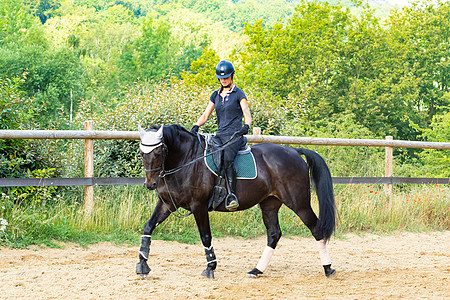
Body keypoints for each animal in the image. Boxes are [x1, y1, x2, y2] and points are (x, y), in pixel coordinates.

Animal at [135, 123, 336, 278]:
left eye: (159, 151)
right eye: (142, 153)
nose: (150, 184)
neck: (186, 160)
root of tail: (294, 150)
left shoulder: (199, 206)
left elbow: (205, 236)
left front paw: (210, 267)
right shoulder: (167, 204)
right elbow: (148, 227)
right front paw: (142, 265)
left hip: (298, 203)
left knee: (316, 228)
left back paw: (328, 269)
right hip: (269, 204)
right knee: (274, 234)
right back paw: (257, 270)